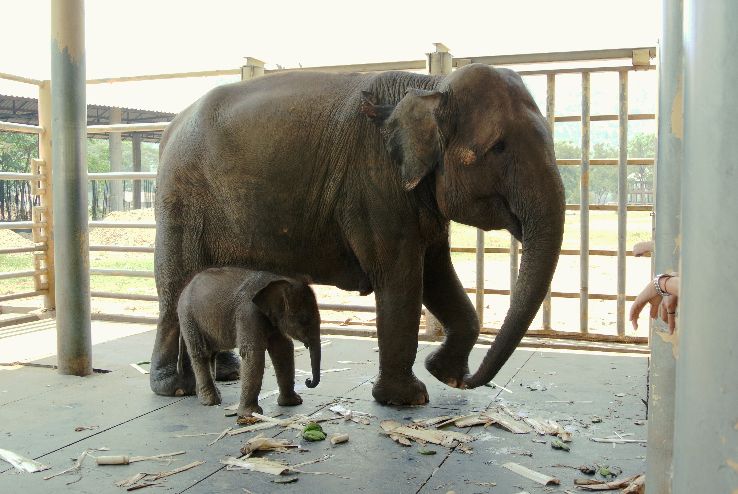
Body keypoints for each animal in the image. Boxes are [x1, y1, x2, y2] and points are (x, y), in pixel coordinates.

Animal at [176, 267, 321, 417]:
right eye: (304, 320)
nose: (308, 381)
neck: (279, 279)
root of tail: (185, 287)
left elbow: (283, 350)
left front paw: (293, 403)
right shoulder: (248, 314)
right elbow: (253, 354)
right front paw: (249, 415)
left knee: (210, 354)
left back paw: (206, 396)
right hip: (189, 318)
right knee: (201, 353)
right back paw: (210, 401)